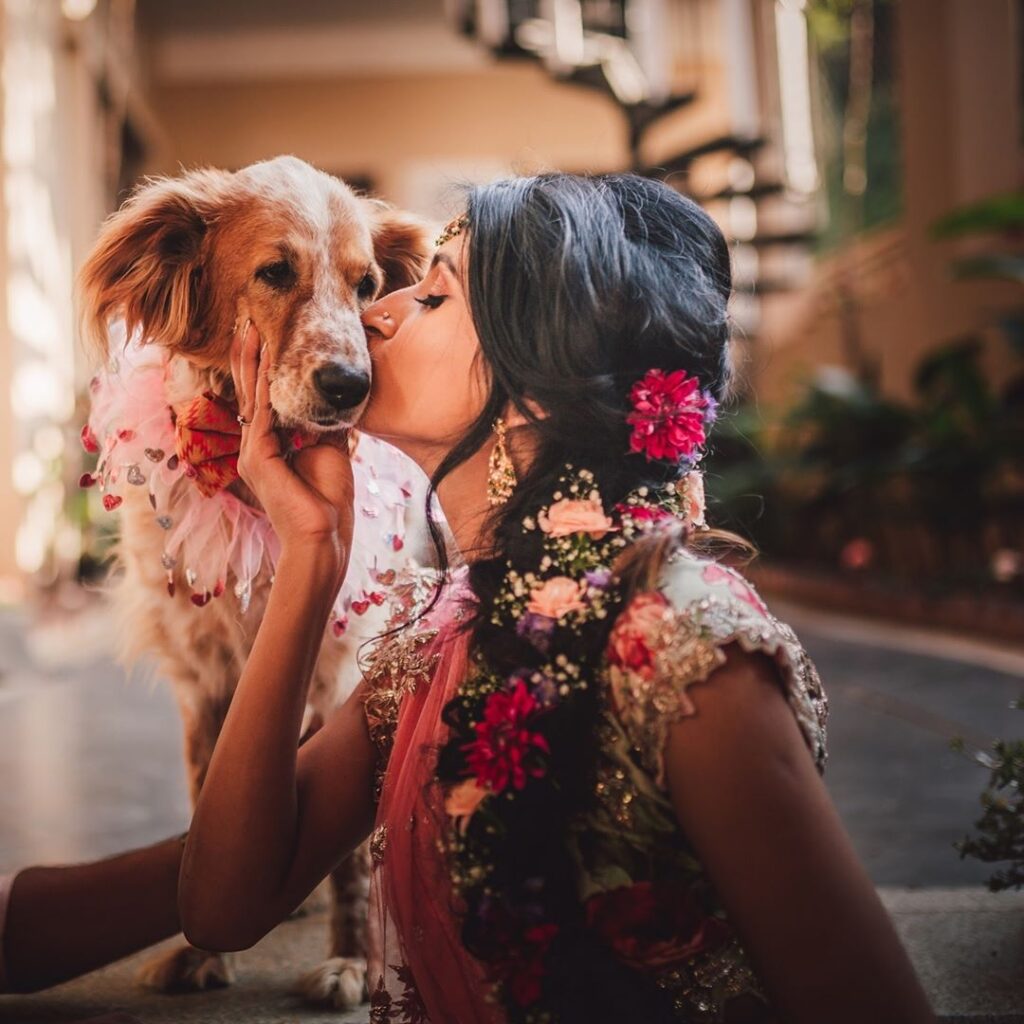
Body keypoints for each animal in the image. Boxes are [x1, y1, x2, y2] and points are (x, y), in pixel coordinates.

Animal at [75, 153, 434, 1007]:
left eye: (368, 284)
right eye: (275, 272)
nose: (351, 386)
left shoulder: (344, 665)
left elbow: (351, 857)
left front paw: (353, 963)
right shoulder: (205, 677)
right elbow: (210, 798)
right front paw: (202, 952)